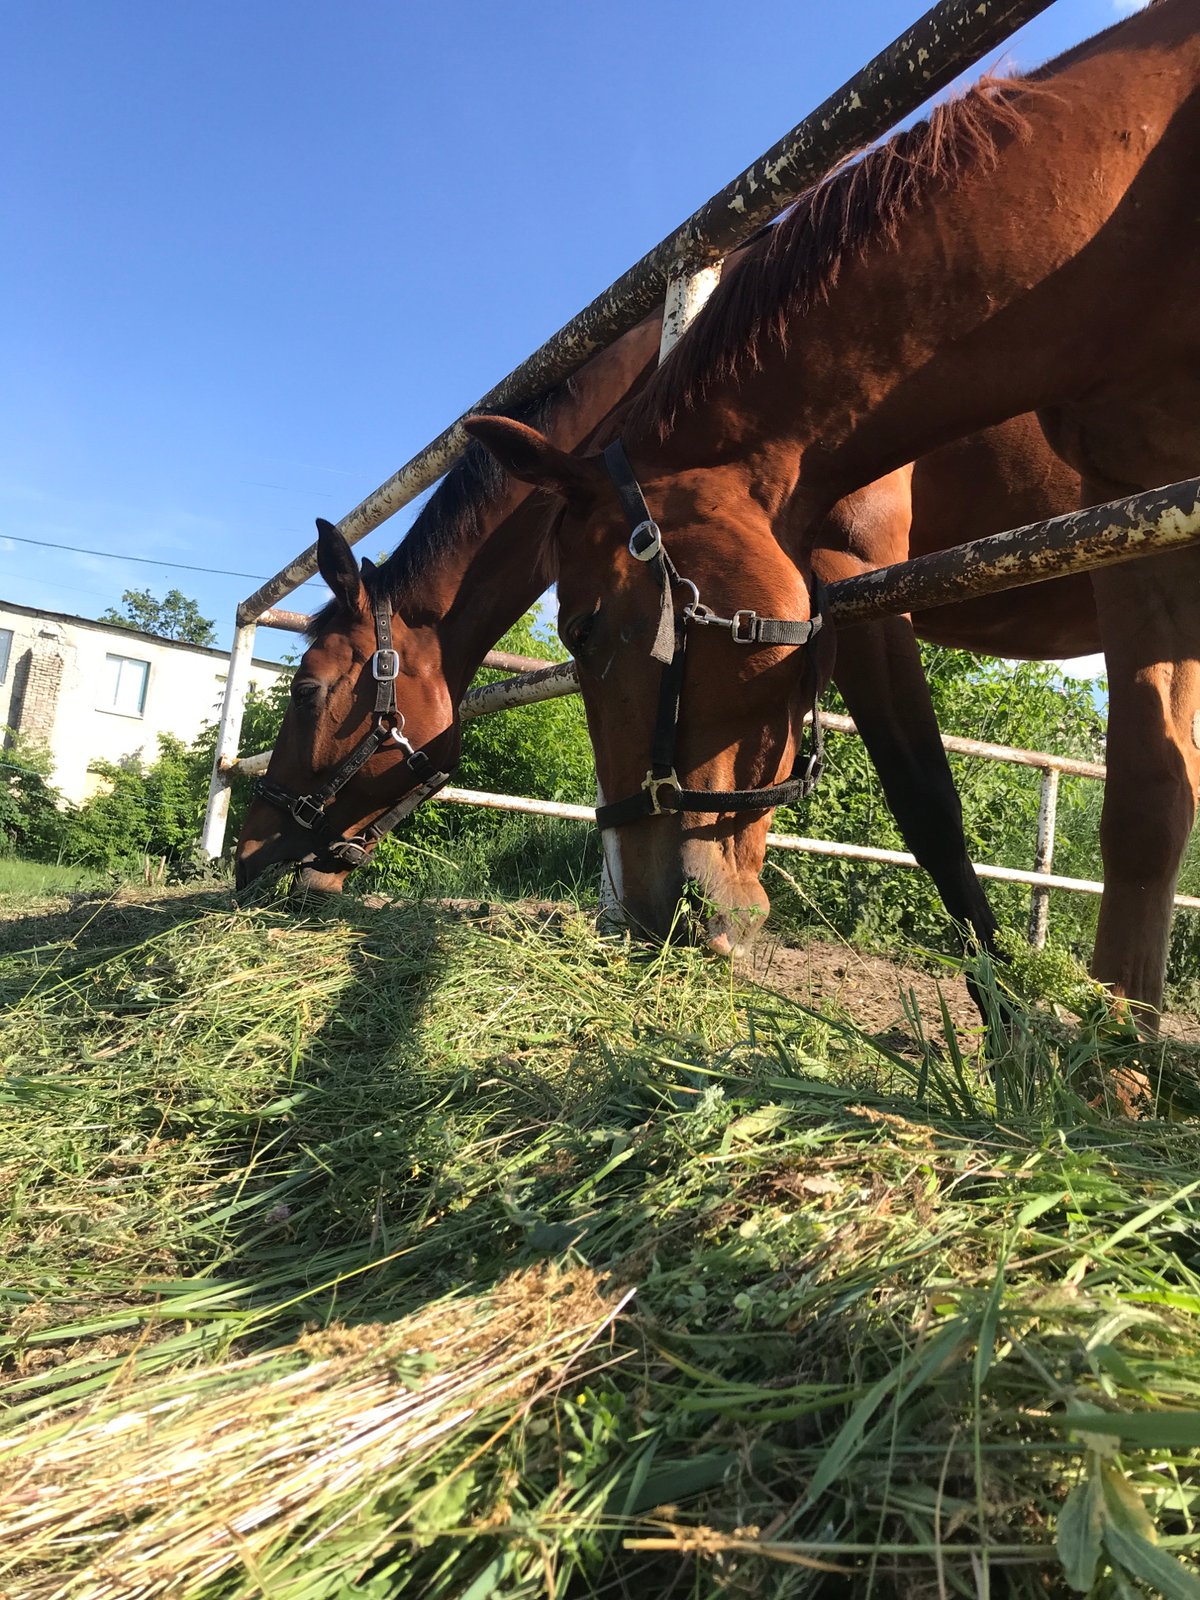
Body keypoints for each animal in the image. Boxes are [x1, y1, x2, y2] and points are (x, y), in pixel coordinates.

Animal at [464, 0, 1200, 1015]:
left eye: (583, 628)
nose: (648, 912)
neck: (1122, 202)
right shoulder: (1131, 504)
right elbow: (1127, 800)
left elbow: (992, 797)